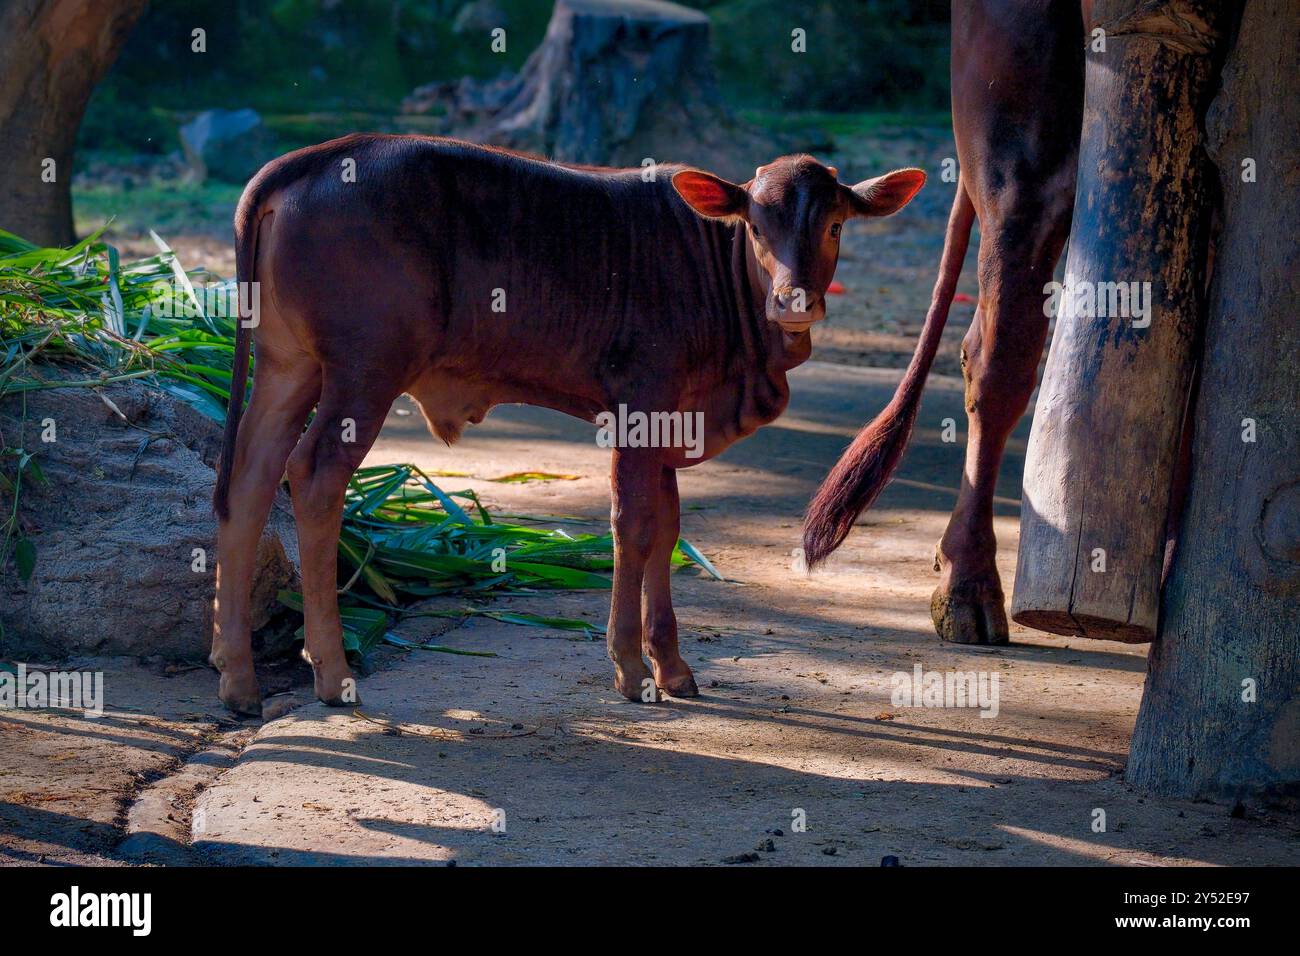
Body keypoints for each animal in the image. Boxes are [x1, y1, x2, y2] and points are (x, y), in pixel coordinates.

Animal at [209, 133, 925, 715]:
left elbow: (667, 527)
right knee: (314, 476)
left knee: (249, 476)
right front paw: (631, 668)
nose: (792, 300)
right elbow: (633, 526)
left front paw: (672, 666)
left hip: (288, 366)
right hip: (365, 370)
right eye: (754, 226)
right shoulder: (639, 403)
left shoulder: (669, 421)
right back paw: (331, 673)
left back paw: (238, 678)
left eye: (835, 226)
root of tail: (315, 157)